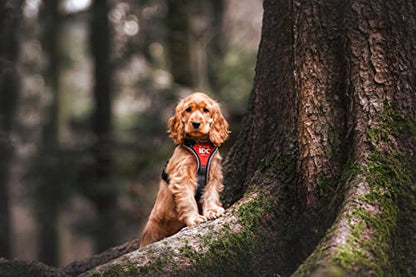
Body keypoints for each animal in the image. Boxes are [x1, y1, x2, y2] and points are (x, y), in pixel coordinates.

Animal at [140, 92, 231, 246]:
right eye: (188, 110)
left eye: (206, 110)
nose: (196, 124)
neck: (200, 143)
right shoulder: (182, 177)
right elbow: (188, 200)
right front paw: (195, 218)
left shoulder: (214, 174)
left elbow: (211, 194)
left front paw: (212, 211)